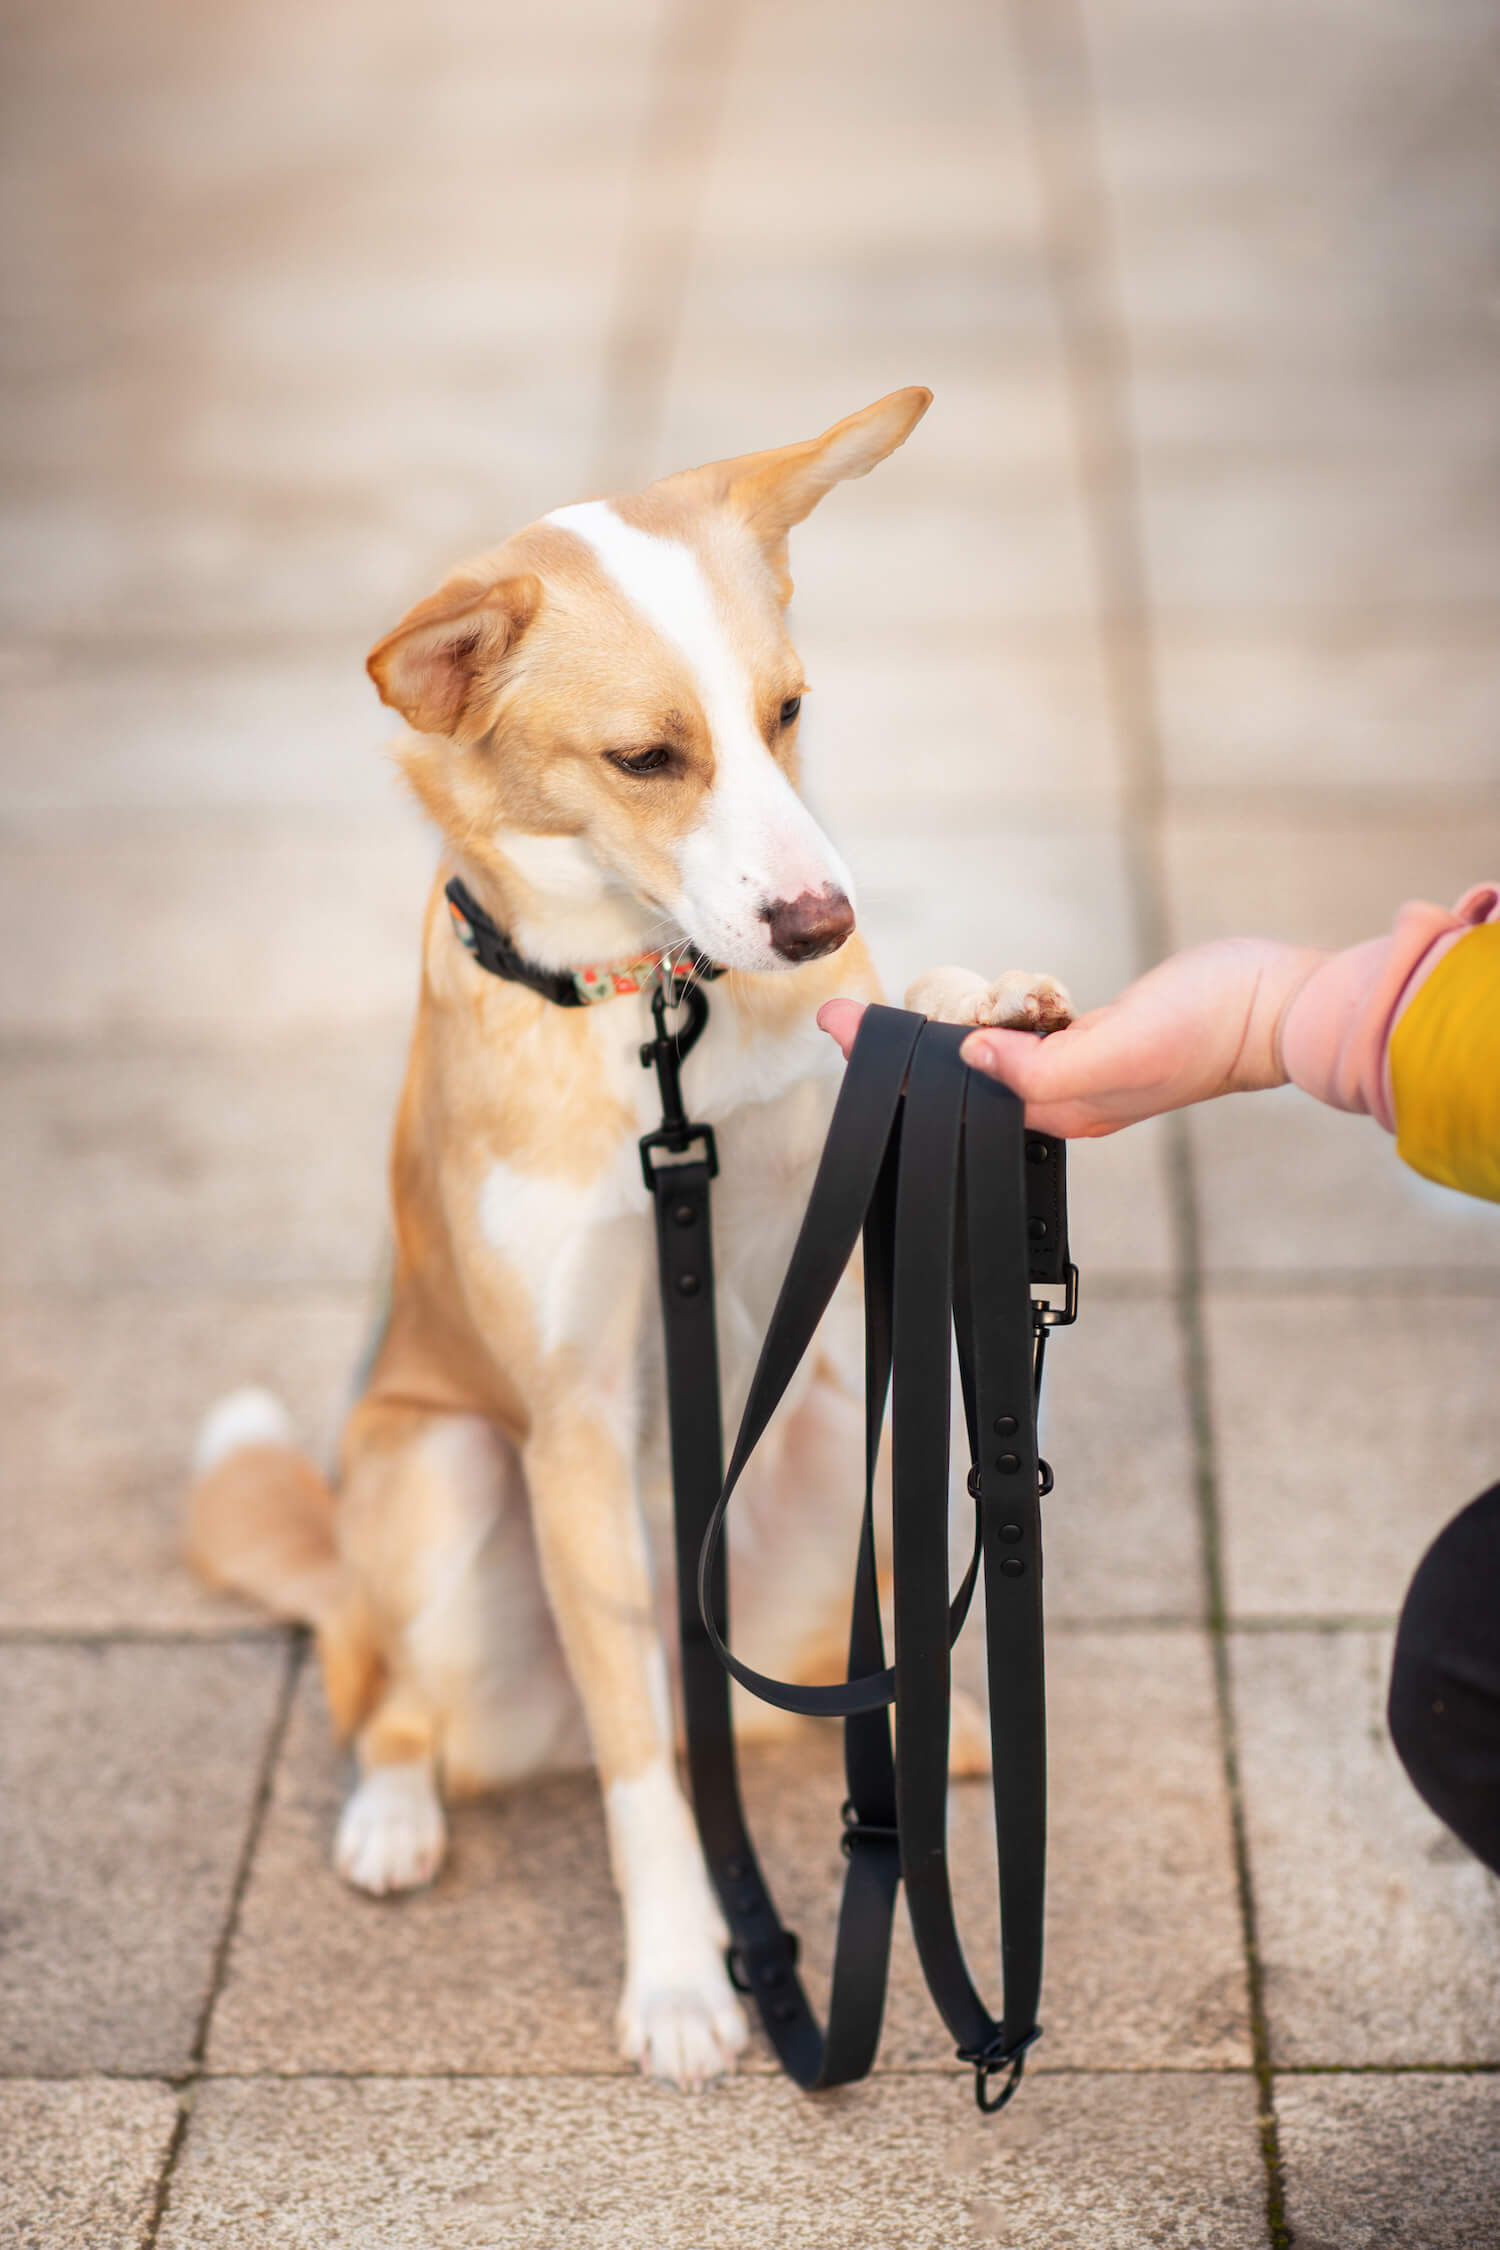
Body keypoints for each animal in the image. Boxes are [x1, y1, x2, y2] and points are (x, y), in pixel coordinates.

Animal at [187, 391, 1074, 2088]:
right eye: (648, 756)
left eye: (791, 710)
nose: (818, 918)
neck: (652, 1007)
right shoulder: (574, 1423)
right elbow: (638, 1781)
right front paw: (677, 1976)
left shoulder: (827, 1239)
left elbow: (900, 1050)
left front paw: (976, 998)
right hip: (438, 1473)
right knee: (404, 1703)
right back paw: (393, 1814)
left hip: (821, 1451)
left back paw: (954, 1743)